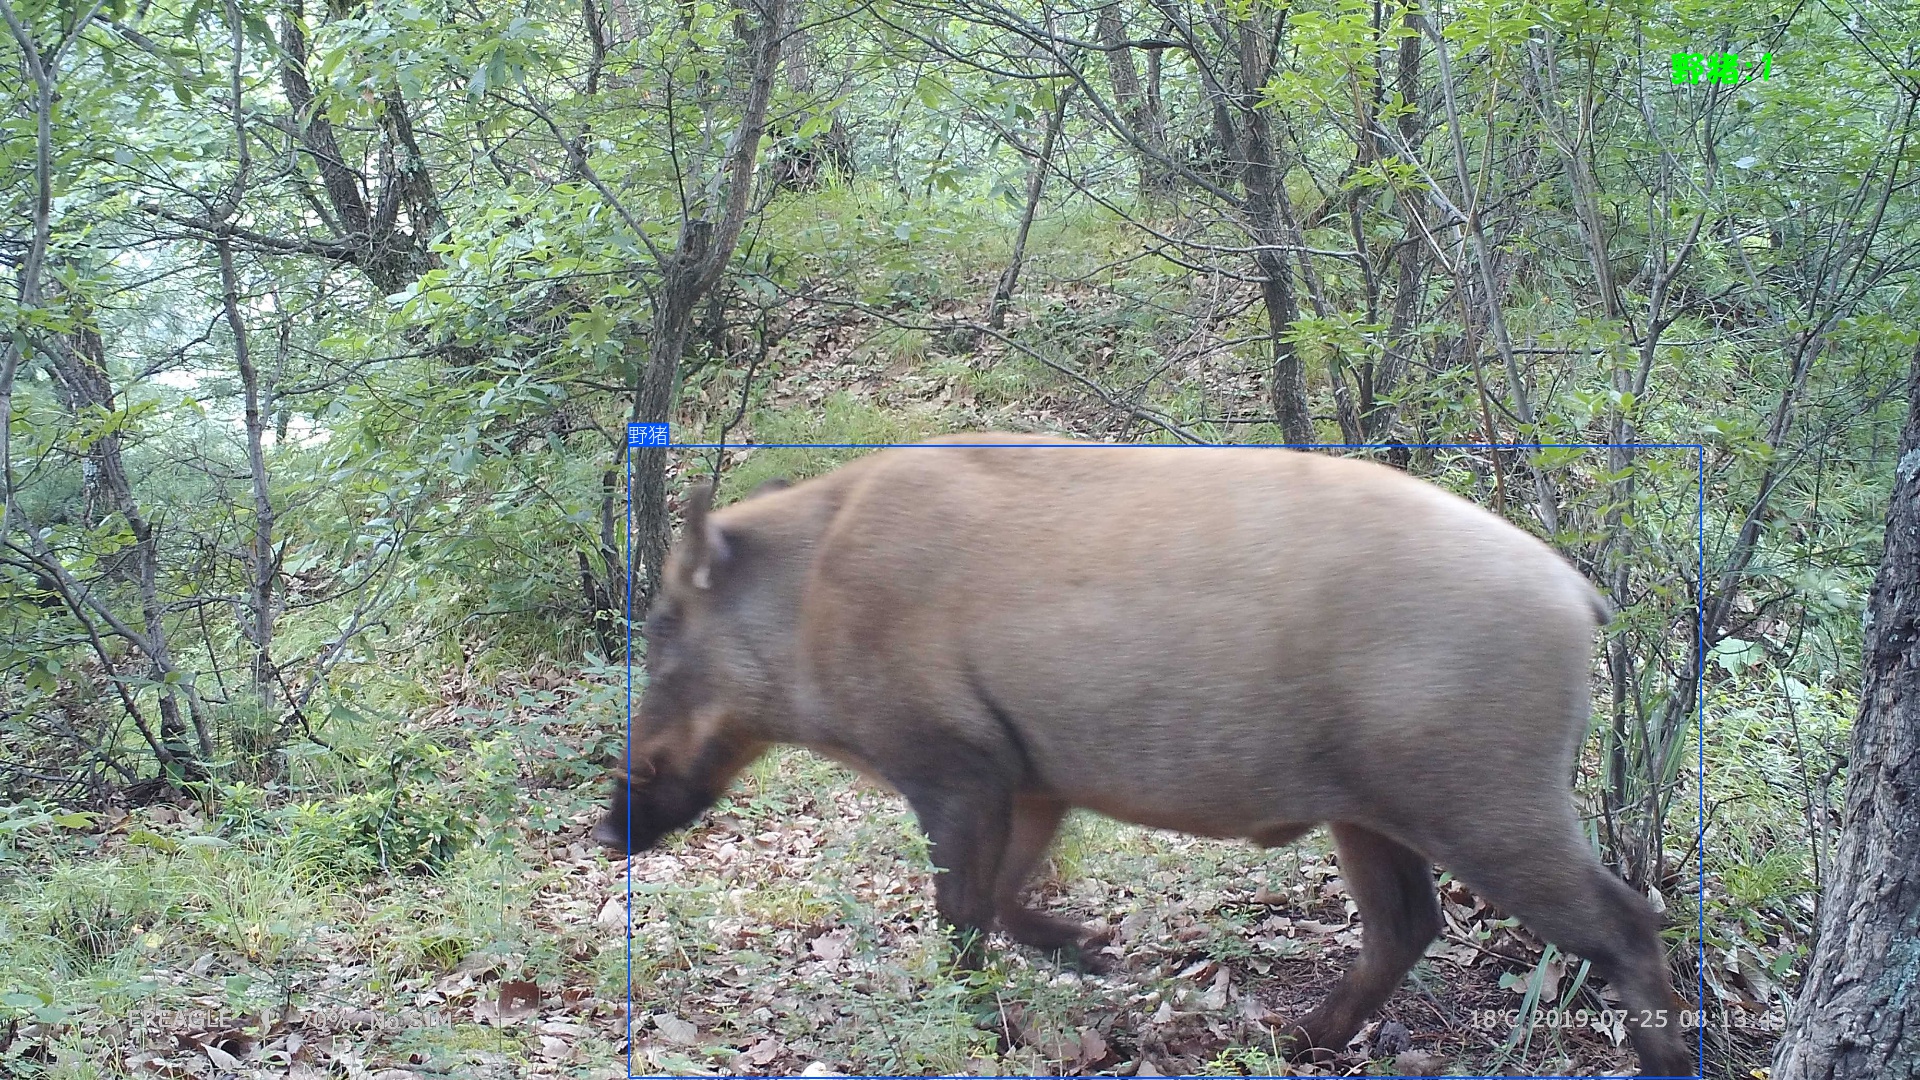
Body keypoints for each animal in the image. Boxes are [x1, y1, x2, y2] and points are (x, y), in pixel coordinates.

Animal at [593, 434, 1694, 1078]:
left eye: (662, 625)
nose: (608, 828)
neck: (812, 605)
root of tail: (1580, 596)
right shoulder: (1028, 778)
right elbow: (1000, 899)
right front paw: (1096, 952)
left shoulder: (953, 764)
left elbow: (959, 915)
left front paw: (996, 1021)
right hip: (1373, 810)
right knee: (1406, 924)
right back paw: (1288, 1041)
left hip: (1483, 797)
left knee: (1626, 923)